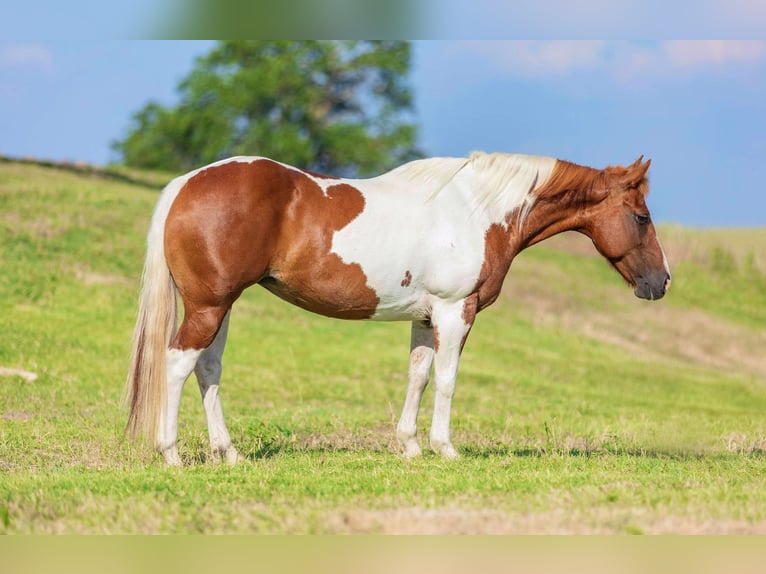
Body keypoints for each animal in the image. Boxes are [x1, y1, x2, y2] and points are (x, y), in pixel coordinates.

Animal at [126, 152, 672, 468]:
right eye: (641, 217)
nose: (662, 282)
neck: (476, 210)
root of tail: (186, 183)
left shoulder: (426, 318)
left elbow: (419, 376)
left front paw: (409, 445)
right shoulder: (456, 311)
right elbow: (447, 380)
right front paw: (445, 448)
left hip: (220, 305)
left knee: (208, 369)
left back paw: (228, 452)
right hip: (209, 306)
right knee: (178, 363)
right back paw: (171, 454)